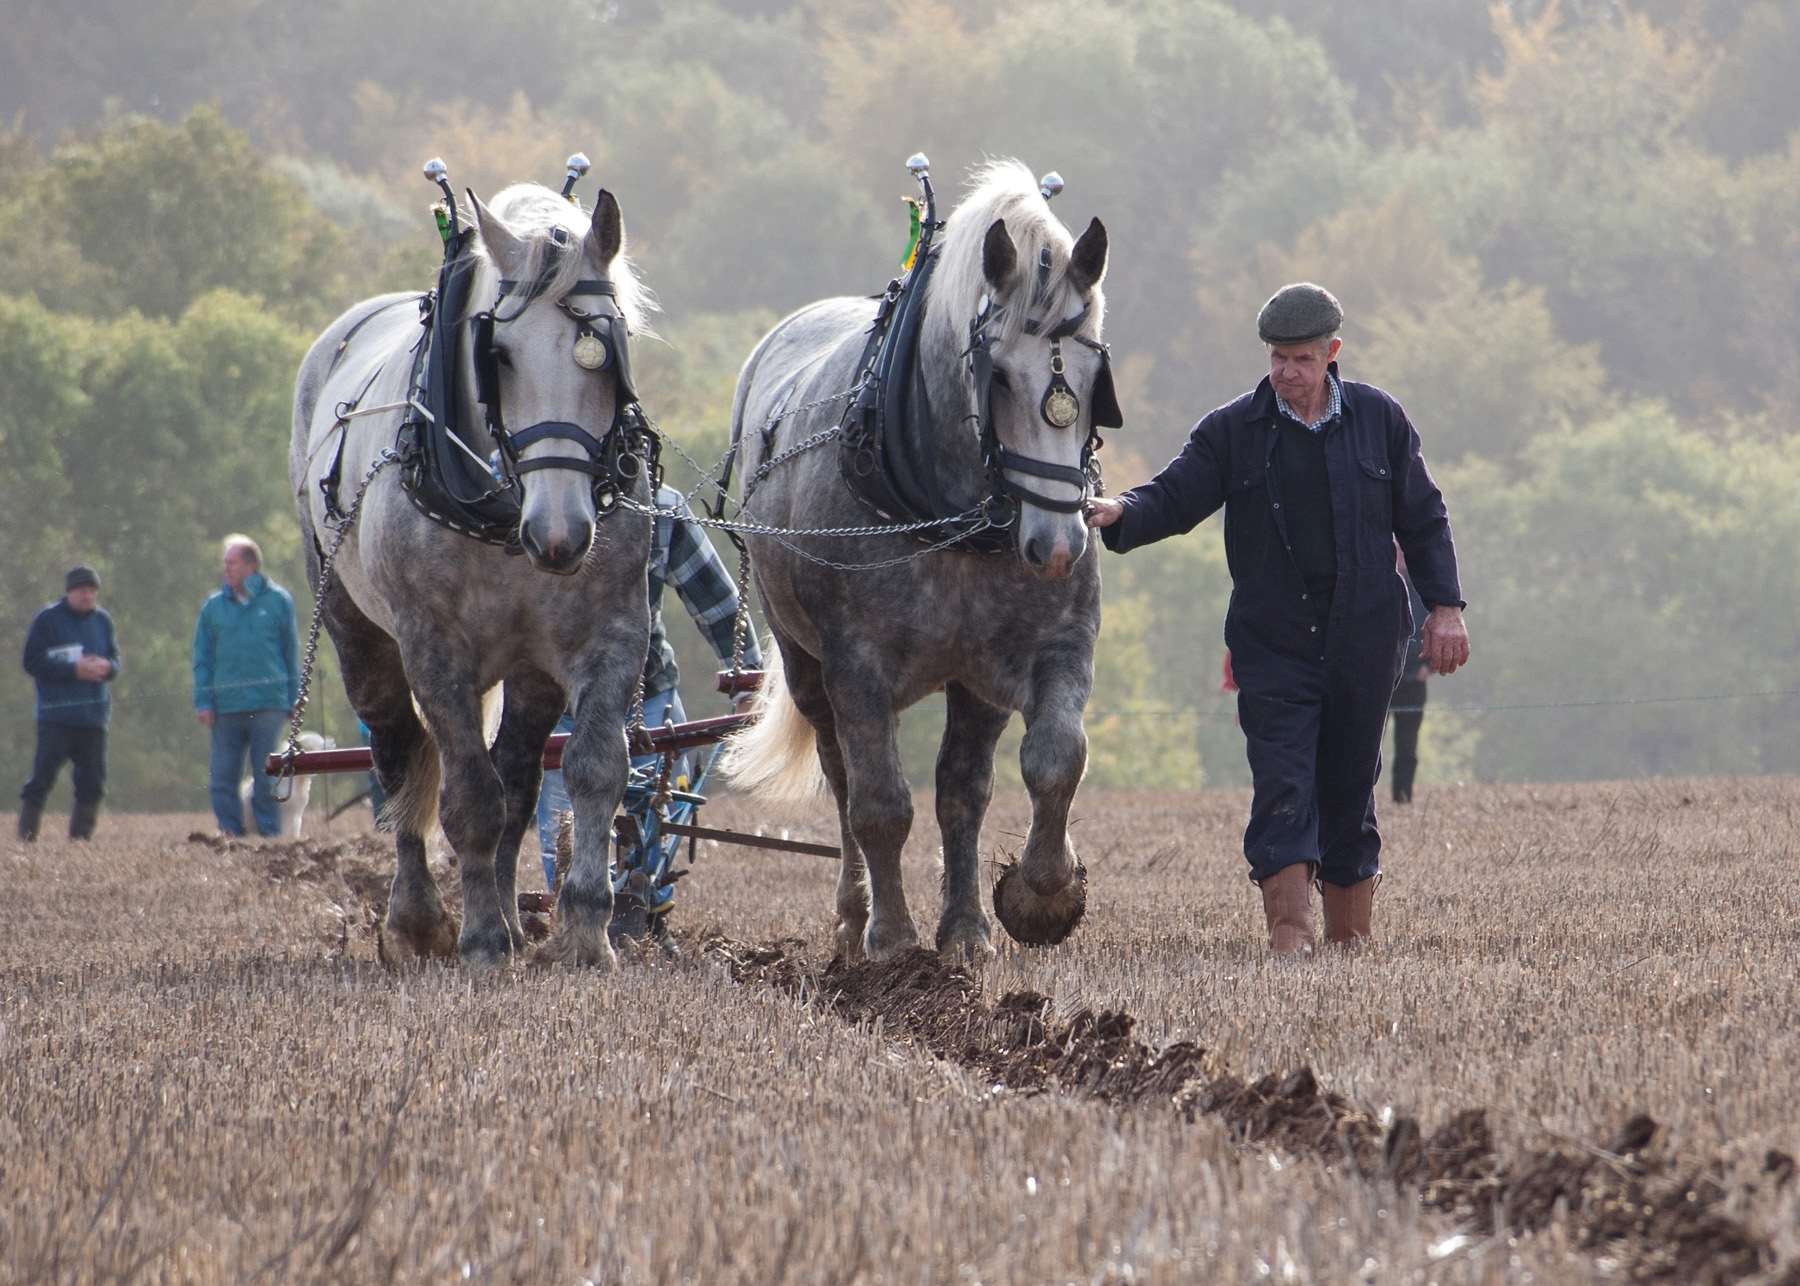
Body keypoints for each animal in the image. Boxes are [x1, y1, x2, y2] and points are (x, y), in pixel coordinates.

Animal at [291, 177, 658, 965]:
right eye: (503, 354)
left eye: (609, 348)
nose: (560, 536)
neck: (504, 512)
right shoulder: (434, 650)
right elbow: (466, 796)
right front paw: (482, 939)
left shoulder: (613, 632)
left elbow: (593, 768)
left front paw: (585, 933)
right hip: (356, 629)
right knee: (399, 760)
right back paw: (419, 921)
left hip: (528, 670)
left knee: (518, 776)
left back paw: (519, 922)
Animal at [723, 160, 1116, 958]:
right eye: (999, 376)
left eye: (1094, 381)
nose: (1058, 547)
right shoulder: (858, 665)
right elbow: (880, 803)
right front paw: (895, 938)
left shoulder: (1044, 650)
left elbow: (1050, 759)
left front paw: (1038, 895)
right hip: (807, 662)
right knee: (843, 778)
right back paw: (856, 914)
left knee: (961, 788)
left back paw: (962, 925)